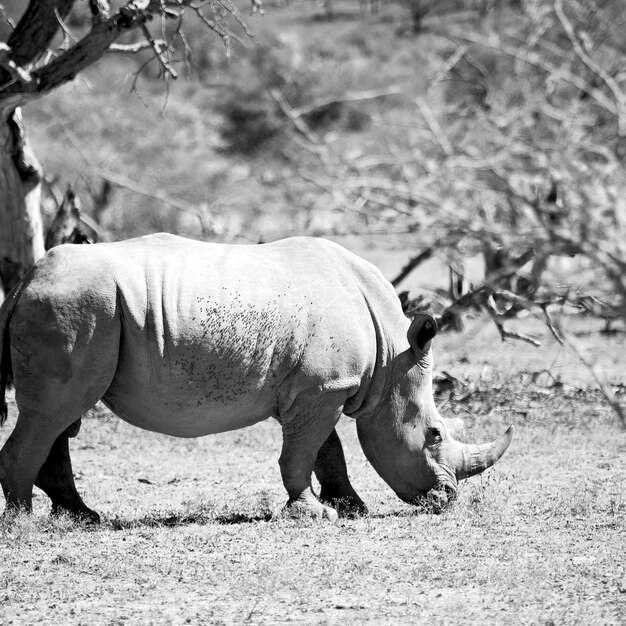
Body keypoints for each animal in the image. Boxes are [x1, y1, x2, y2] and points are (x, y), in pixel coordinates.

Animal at [0, 232, 510, 520]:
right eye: (434, 433)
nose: (446, 498)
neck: (390, 352)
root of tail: (25, 280)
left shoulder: (316, 388)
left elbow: (327, 450)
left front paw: (349, 507)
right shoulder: (323, 388)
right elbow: (302, 453)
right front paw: (314, 514)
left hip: (80, 305)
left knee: (62, 418)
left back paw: (82, 517)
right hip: (79, 304)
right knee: (53, 412)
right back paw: (26, 523)